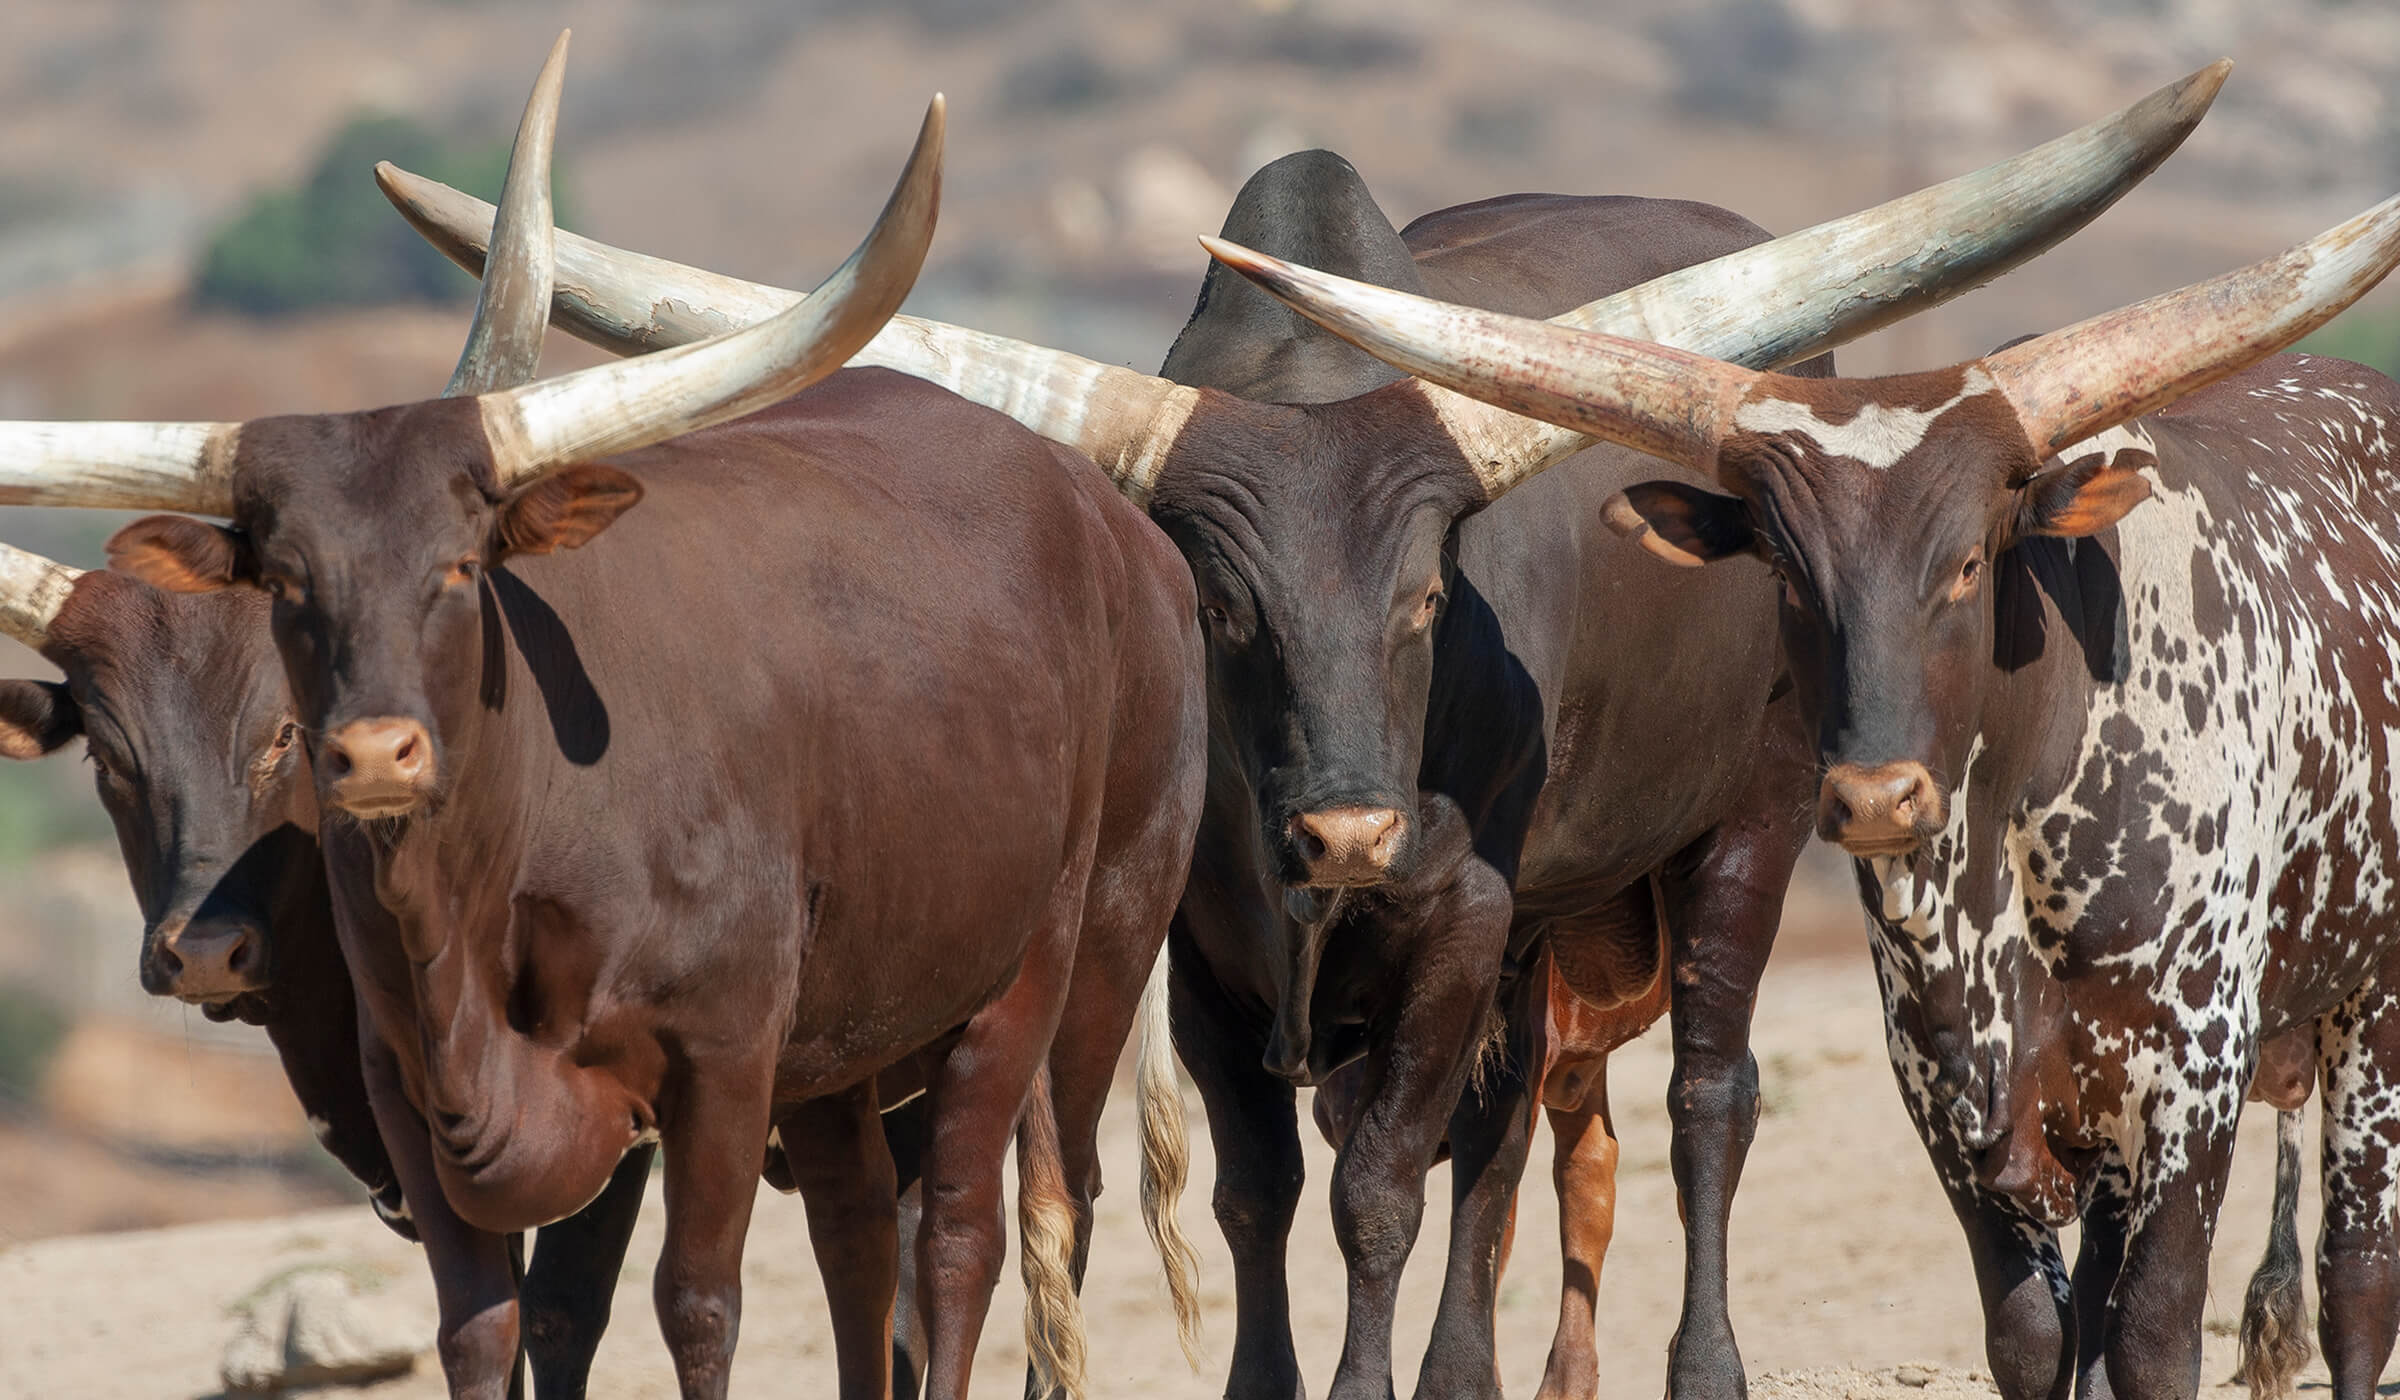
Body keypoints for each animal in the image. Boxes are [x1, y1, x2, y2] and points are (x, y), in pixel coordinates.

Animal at [0, 90, 1200, 1400]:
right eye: (108, 754)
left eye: (458, 565)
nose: (201, 949)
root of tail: (1111, 521)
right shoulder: (414, 1089)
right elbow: (491, 1322)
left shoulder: (712, 1066)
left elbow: (682, 1304)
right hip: (847, 1040)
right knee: (860, 1235)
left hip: (1056, 974)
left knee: (993, 1231)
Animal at [379, 63, 2227, 1400]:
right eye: (1224, 606)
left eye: (1427, 594)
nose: (1347, 832)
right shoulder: (1214, 945)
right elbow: (1274, 1185)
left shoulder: (1458, 903)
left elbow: (1382, 1186)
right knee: (1512, 1134)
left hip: (1748, 826)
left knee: (1706, 1096)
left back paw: (1700, 1365)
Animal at [1209, 172, 2400, 1400]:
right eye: (1787, 569)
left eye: (1969, 561)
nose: (1875, 800)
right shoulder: (1948, 1094)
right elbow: (2033, 1337)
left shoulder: (2190, 1087)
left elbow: (2156, 1337)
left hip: (2365, 1018)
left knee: (2356, 1279)